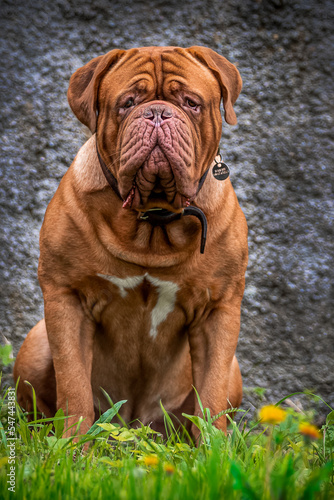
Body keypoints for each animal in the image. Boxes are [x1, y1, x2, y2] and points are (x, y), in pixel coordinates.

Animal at [13, 46, 248, 438]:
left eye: (191, 103)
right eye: (127, 103)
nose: (157, 113)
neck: (153, 219)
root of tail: (134, 423)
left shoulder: (219, 308)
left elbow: (212, 399)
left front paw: (213, 448)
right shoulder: (66, 297)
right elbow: (73, 387)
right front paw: (72, 447)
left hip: (233, 370)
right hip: (36, 342)